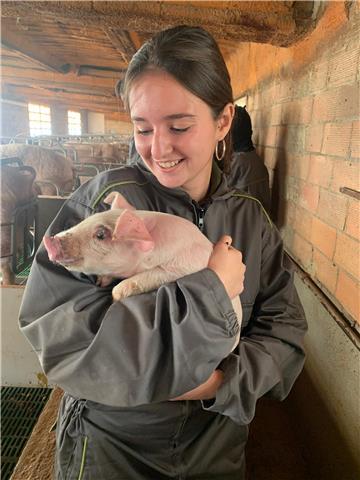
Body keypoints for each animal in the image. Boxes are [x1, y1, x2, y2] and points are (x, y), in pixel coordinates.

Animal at [44, 193, 242, 346]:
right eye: (86, 220)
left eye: (100, 234)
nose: (49, 240)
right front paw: (102, 282)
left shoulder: (180, 268)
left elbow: (140, 280)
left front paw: (114, 296)